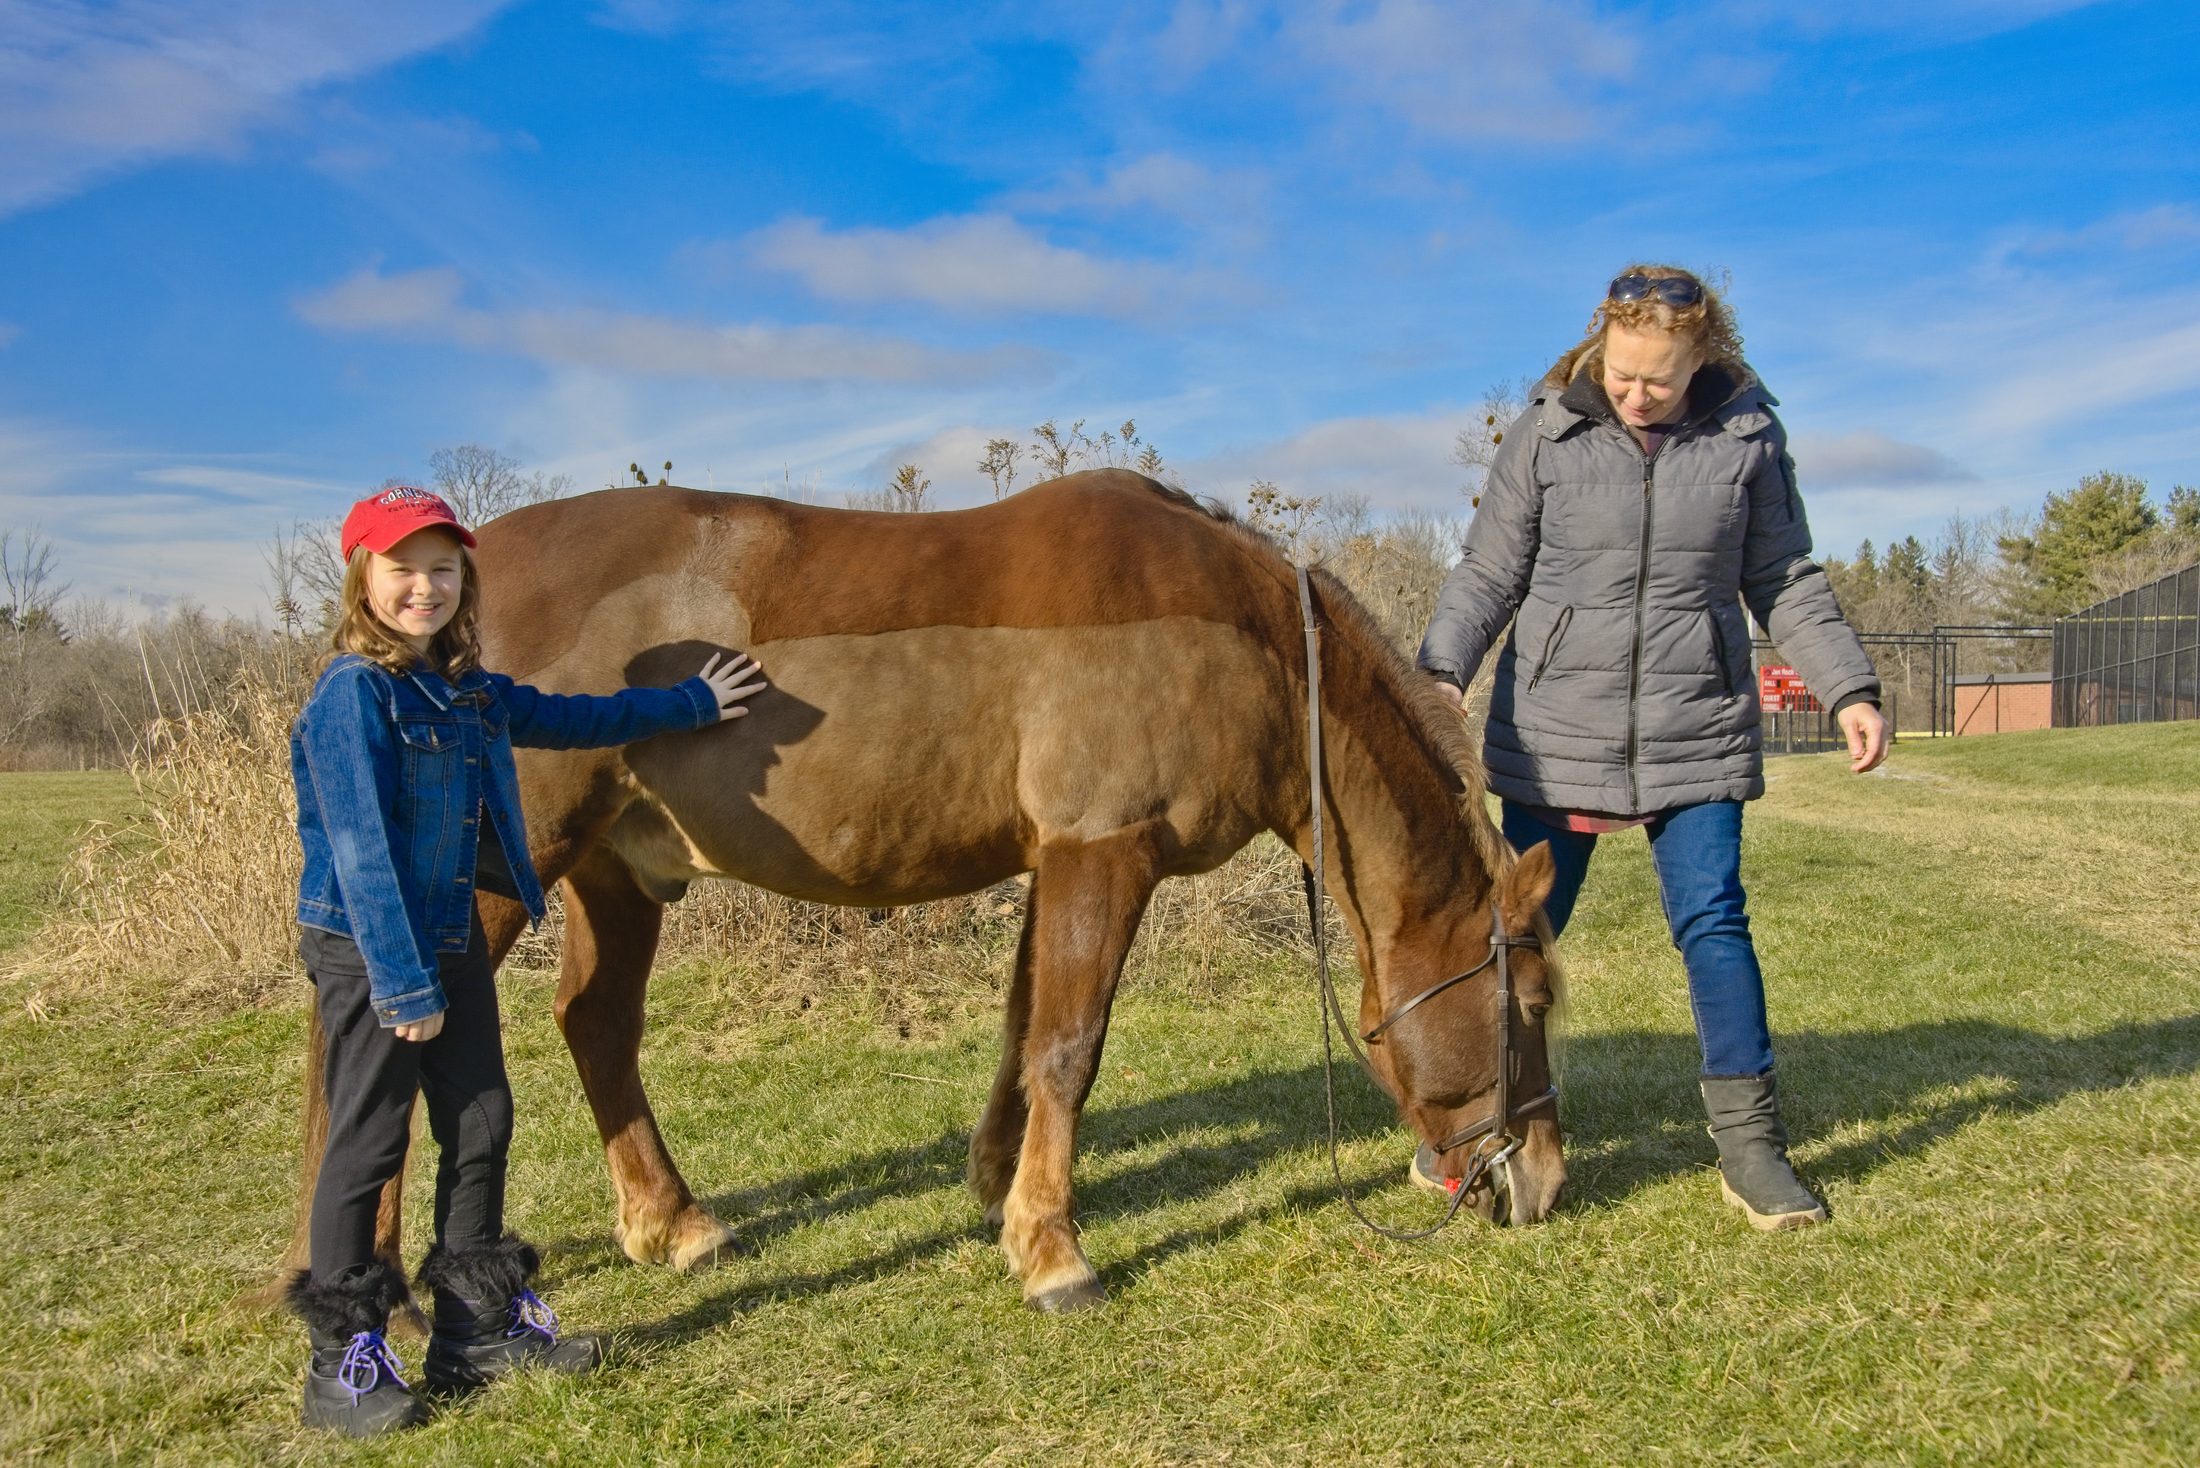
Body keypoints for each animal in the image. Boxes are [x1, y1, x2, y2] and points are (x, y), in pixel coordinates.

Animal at [284, 469, 1563, 1312]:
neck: (1240, 640)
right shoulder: (1102, 855)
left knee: (595, 1024)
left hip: (614, 871)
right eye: (1535, 1000)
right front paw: (1054, 1252)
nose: (1543, 1181)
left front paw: (1003, 1191)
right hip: (496, 872)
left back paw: (672, 1222)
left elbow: (1024, 1032)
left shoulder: (1055, 860)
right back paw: (377, 1286)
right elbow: (1069, 1046)